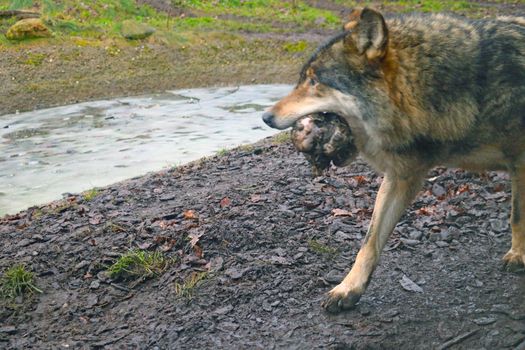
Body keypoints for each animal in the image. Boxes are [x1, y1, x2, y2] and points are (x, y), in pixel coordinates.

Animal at [262, 8, 524, 314]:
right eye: (303, 79)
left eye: (314, 82)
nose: (265, 117)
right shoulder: (400, 177)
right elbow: (369, 241)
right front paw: (348, 289)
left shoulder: (520, 163)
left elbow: (517, 215)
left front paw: (518, 255)